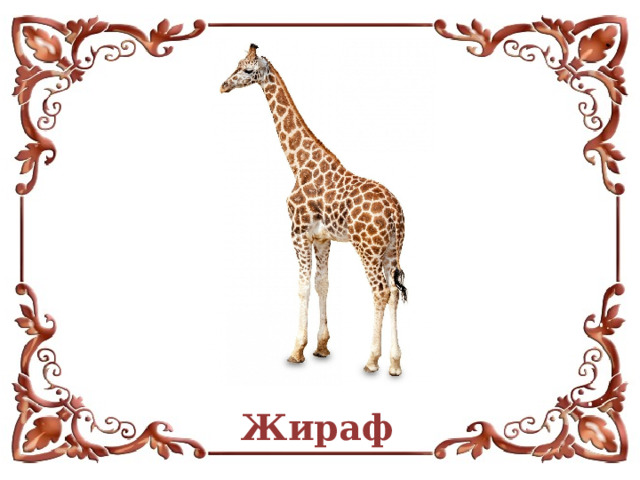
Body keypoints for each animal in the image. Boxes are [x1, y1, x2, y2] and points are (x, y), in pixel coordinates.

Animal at [220, 44, 407, 376]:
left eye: (247, 70)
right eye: (238, 64)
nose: (223, 85)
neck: (299, 164)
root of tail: (395, 212)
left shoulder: (298, 231)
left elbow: (303, 286)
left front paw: (297, 350)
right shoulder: (322, 238)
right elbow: (322, 284)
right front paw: (321, 347)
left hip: (367, 248)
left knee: (381, 292)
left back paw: (372, 360)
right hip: (391, 250)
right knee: (395, 293)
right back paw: (395, 364)